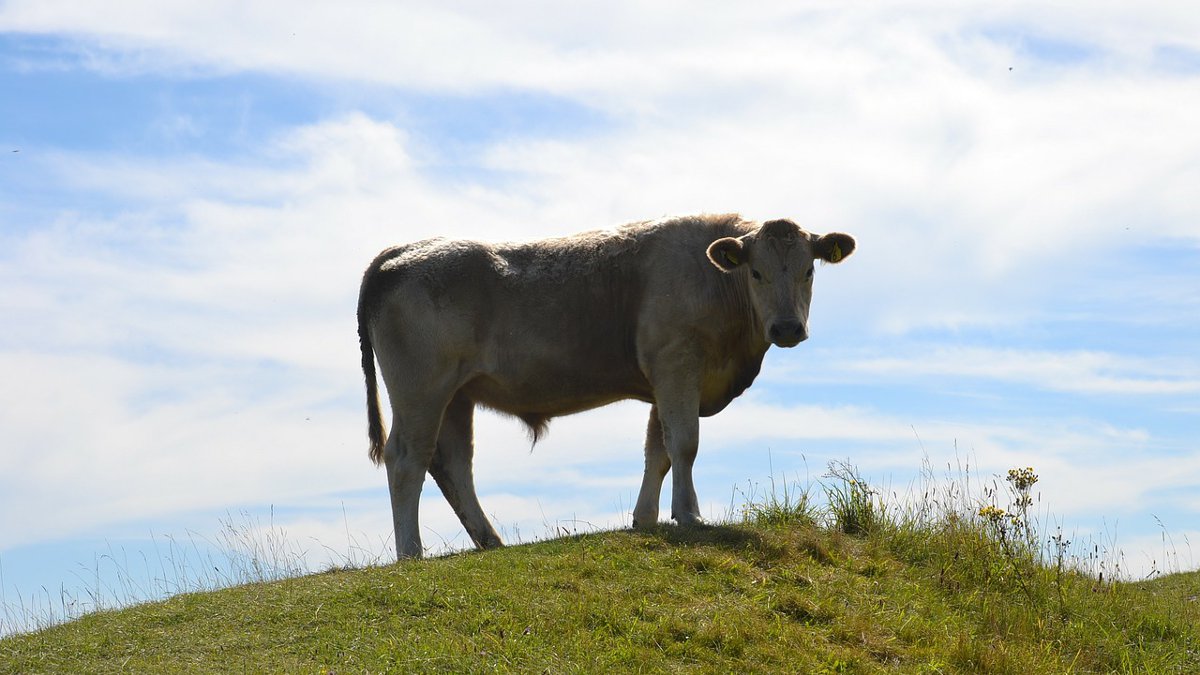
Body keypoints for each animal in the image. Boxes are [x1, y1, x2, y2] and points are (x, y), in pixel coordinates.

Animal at [355, 212, 854, 554]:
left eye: (809, 271)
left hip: (458, 395)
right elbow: (684, 443)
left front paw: (646, 518)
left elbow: (659, 451)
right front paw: (689, 514)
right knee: (408, 459)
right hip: (421, 390)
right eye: (756, 272)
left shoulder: (665, 381)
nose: (787, 327)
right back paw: (411, 553)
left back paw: (490, 541)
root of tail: (401, 252)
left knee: (453, 463)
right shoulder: (677, 365)